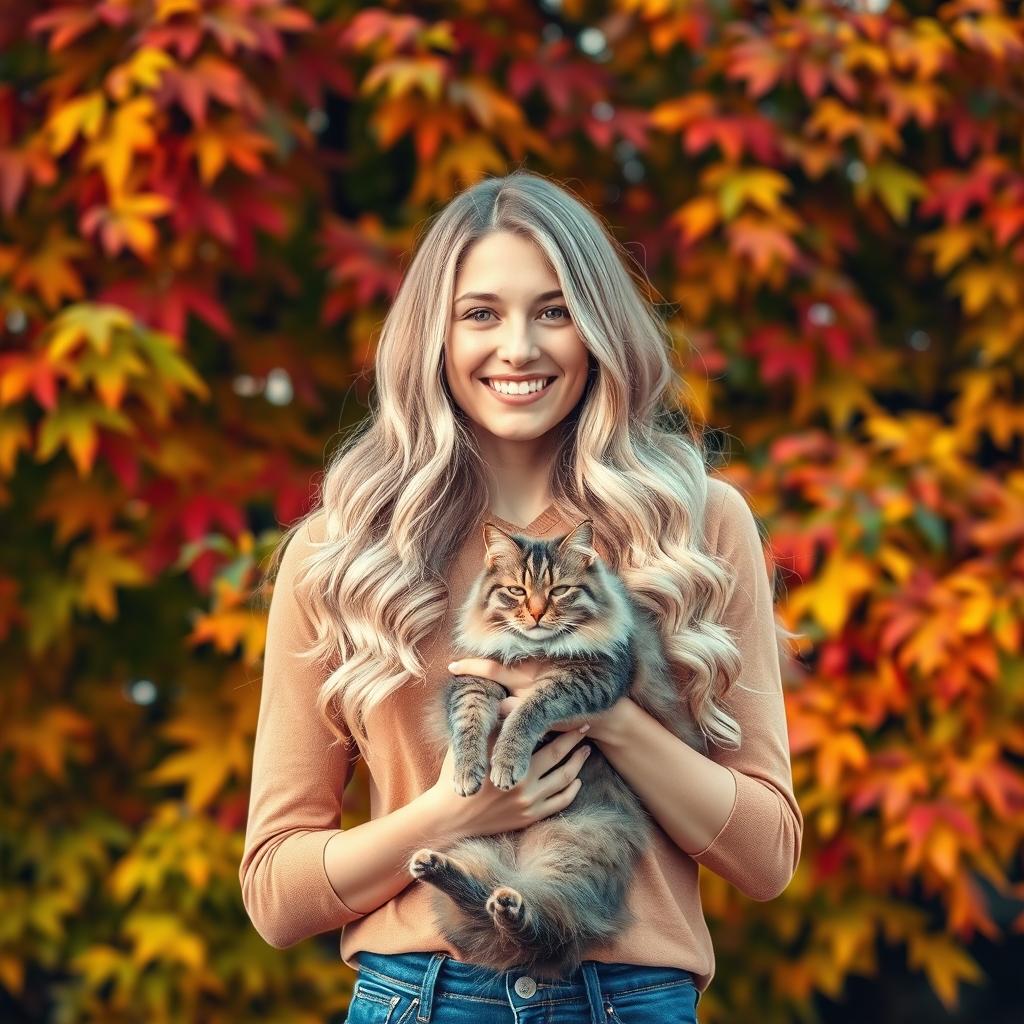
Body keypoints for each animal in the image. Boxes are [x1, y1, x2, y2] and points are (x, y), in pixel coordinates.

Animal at [405, 516, 704, 978]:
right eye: (516, 590)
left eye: (560, 590)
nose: (536, 613)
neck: (535, 650)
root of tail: (515, 872)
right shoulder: (474, 678)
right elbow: (469, 723)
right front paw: (469, 773)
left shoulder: (587, 677)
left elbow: (528, 710)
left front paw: (506, 765)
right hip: (478, 847)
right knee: (489, 905)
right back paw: (436, 868)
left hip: (574, 851)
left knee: (545, 926)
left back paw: (509, 906)